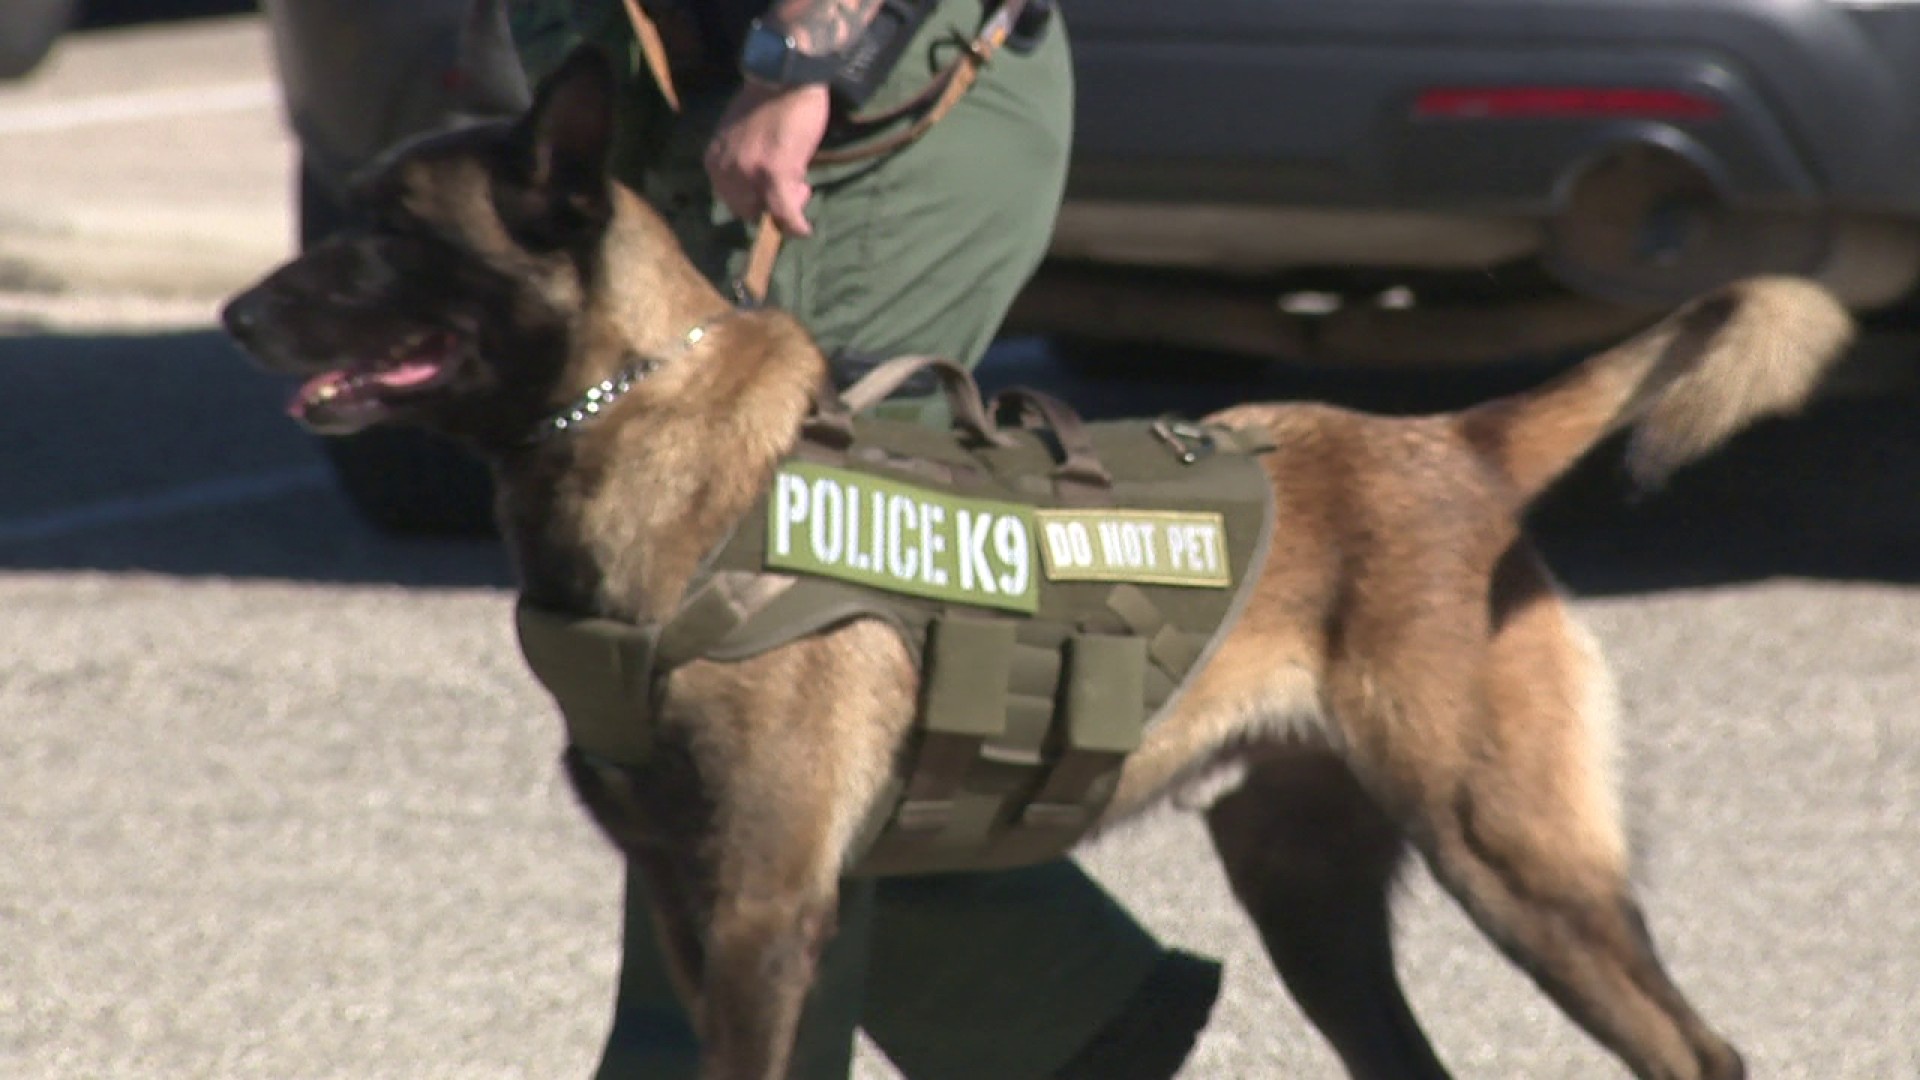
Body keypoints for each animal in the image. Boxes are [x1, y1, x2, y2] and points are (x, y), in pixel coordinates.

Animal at [224, 48, 1858, 1076]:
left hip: (1516, 863)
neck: (646, 429)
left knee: (1702, 1054)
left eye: (382, 234)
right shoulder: (698, 909)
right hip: (1312, 898)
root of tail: (1449, 443)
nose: (238, 316)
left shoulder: (760, 909)